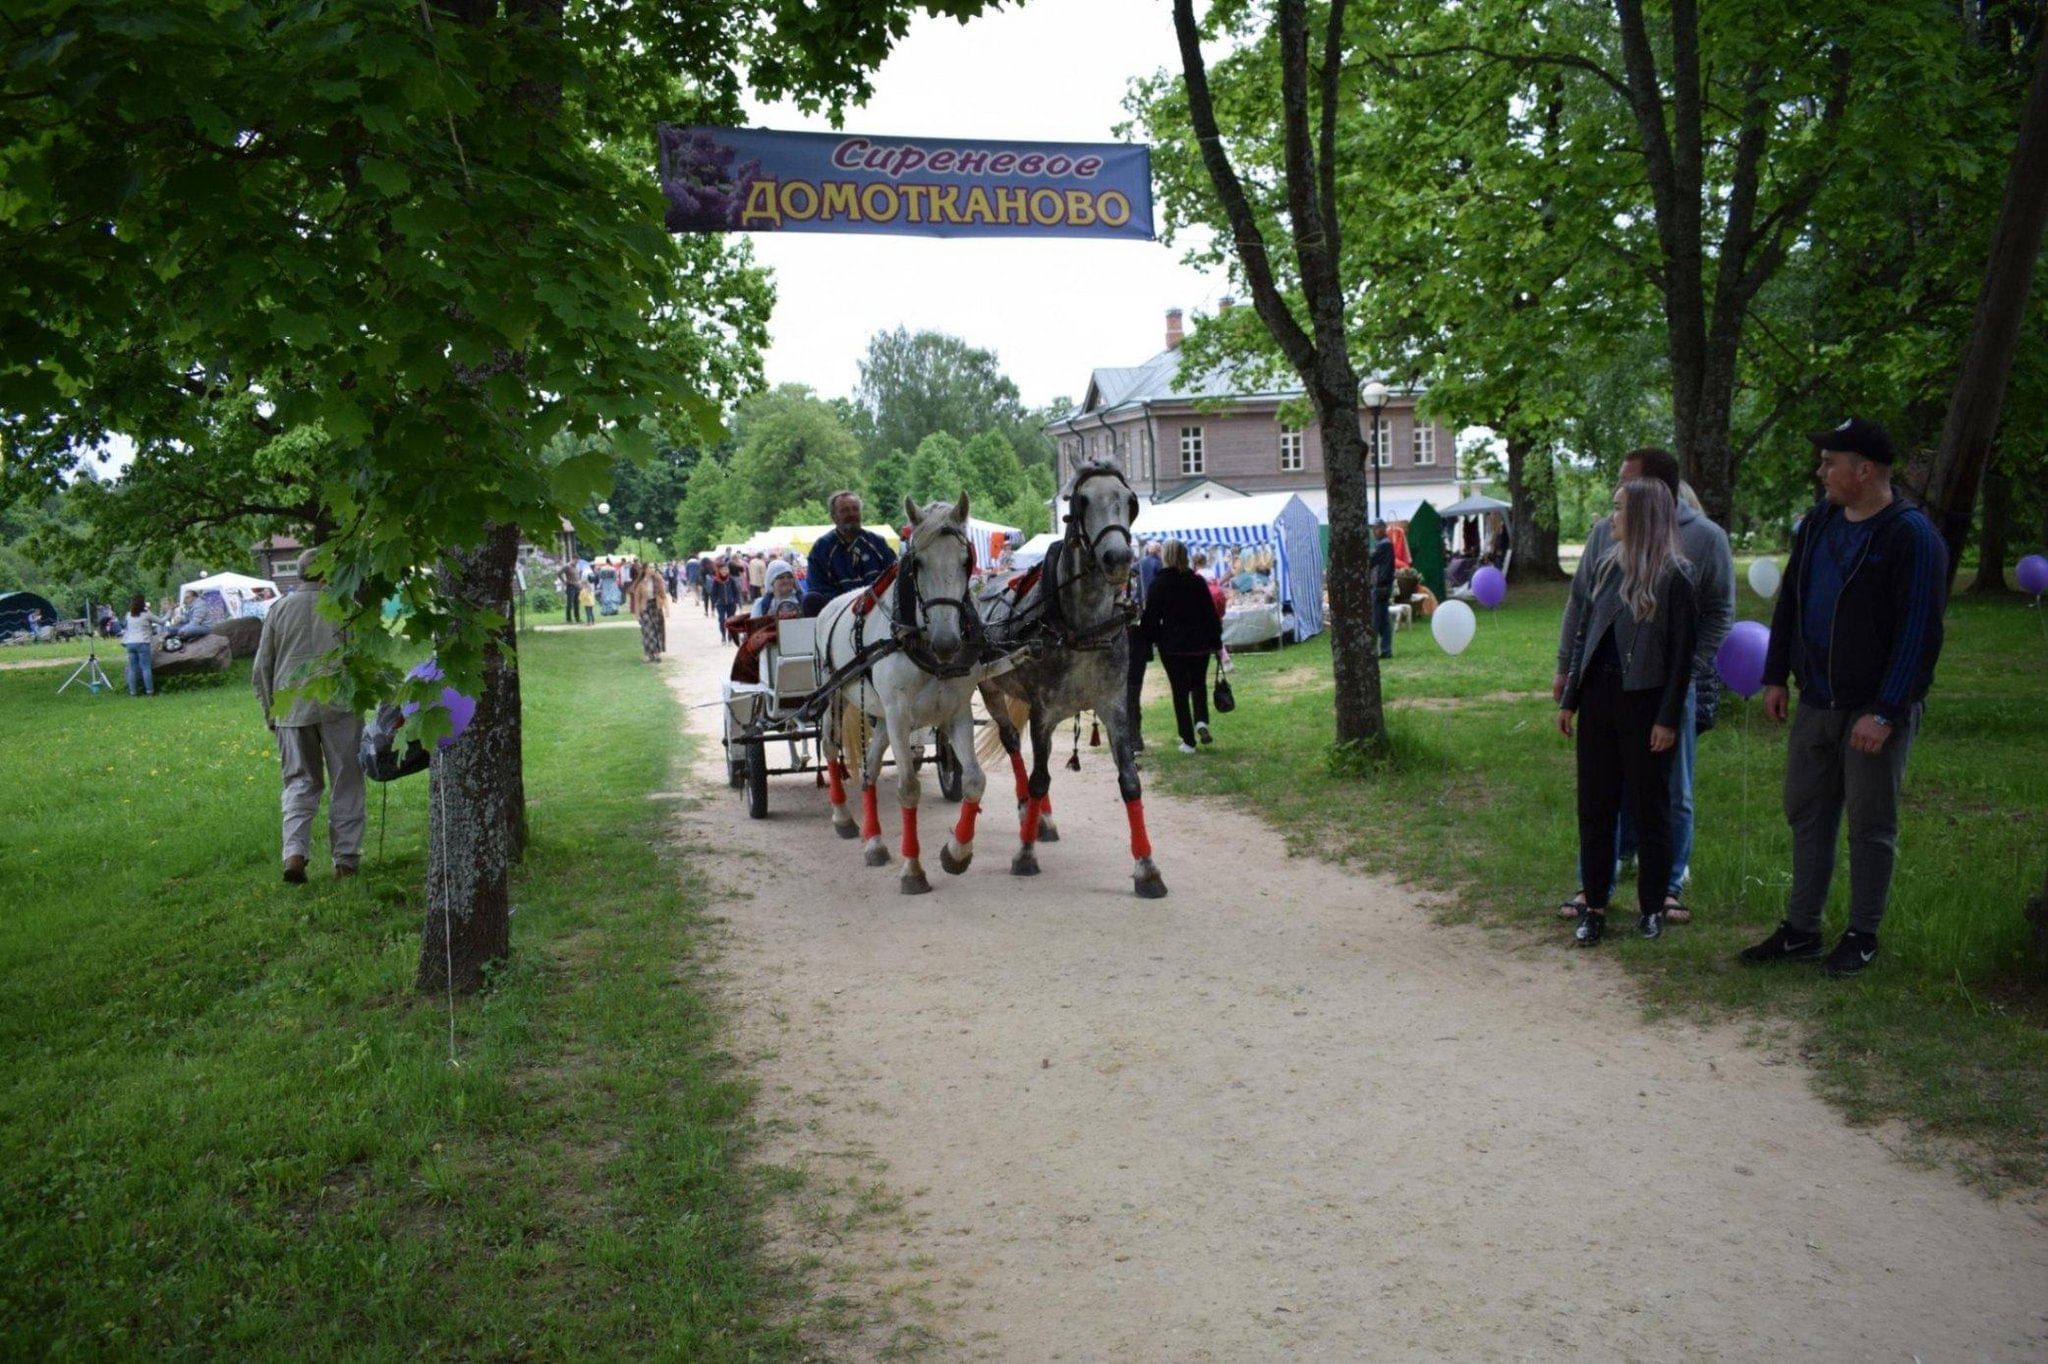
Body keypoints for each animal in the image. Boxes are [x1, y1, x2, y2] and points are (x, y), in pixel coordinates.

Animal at [811, 489, 987, 892]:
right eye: (916, 563)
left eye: (966, 560)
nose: (947, 642)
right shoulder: (899, 715)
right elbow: (908, 787)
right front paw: (913, 869)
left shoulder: (957, 712)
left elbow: (973, 779)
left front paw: (956, 853)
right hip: (836, 697)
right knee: (830, 748)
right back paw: (843, 817)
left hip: (880, 715)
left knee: (870, 768)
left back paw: (875, 842)